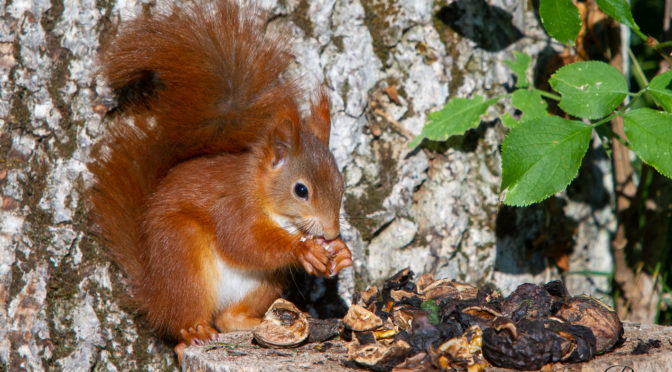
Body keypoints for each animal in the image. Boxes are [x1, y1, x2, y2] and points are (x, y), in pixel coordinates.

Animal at [88, 0, 352, 356]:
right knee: (181, 325)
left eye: (341, 184)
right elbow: (244, 241)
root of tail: (154, 295)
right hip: (183, 260)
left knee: (227, 318)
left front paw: (340, 251)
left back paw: (248, 321)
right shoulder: (232, 207)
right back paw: (194, 331)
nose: (332, 231)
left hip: (265, 282)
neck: (270, 205)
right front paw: (304, 250)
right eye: (301, 190)